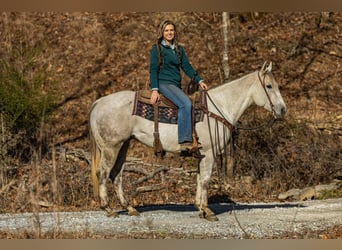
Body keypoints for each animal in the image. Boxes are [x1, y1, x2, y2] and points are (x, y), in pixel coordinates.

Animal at [90, 62, 286, 221]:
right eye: (269, 86)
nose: (283, 110)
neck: (218, 108)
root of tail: (98, 102)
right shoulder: (209, 153)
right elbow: (205, 180)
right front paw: (208, 211)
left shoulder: (201, 154)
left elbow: (199, 179)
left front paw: (200, 208)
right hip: (110, 147)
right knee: (103, 173)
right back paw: (108, 209)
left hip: (123, 145)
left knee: (116, 175)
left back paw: (129, 208)